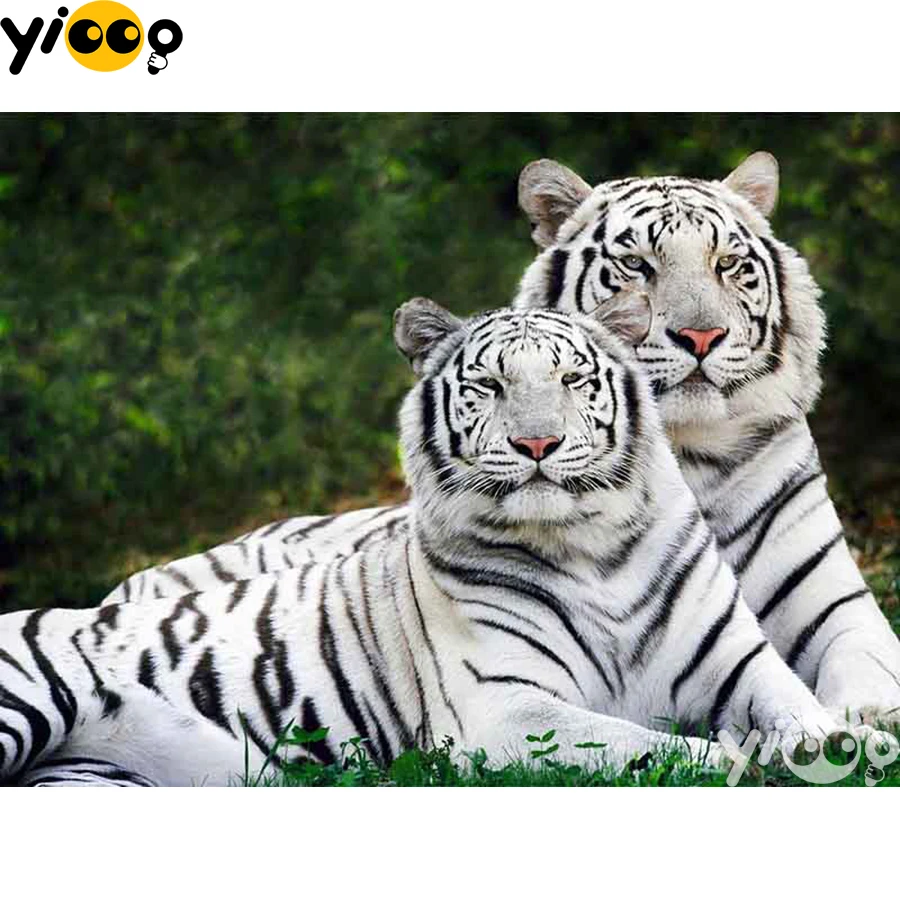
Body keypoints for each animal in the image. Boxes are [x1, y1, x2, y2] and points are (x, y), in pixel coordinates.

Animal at [1, 302, 855, 786]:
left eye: (573, 380)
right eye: (489, 387)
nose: (537, 444)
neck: (593, 549)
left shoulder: (739, 663)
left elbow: (804, 712)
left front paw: (841, 746)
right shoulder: (502, 708)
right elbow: (632, 739)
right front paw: (729, 760)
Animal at [106, 153, 900, 730]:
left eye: (727, 264)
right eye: (637, 265)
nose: (699, 336)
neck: (688, 455)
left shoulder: (835, 606)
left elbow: (865, 668)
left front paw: (859, 723)